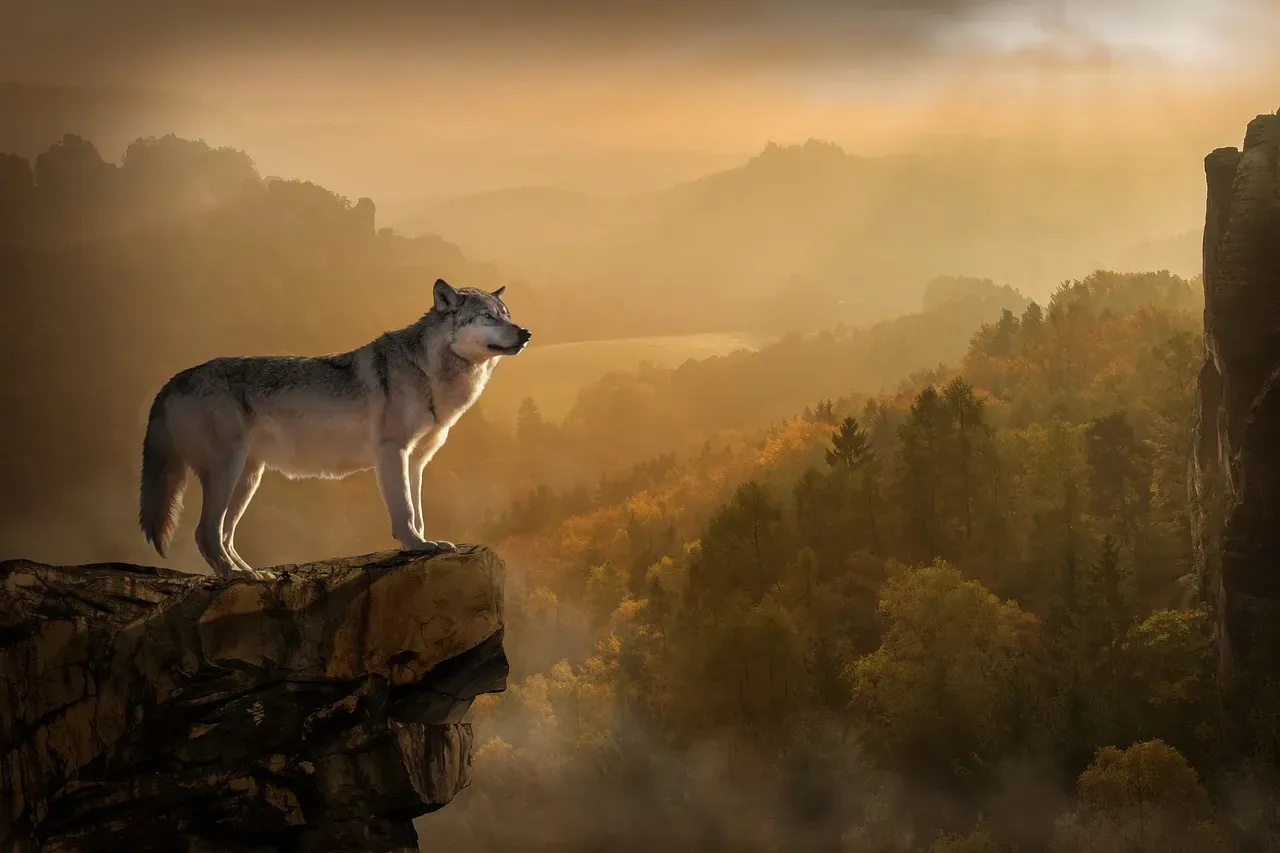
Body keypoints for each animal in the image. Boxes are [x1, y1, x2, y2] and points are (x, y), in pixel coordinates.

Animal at [138, 278, 530, 579]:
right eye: (487, 316)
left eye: (507, 315)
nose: (526, 333)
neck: (429, 371)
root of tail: (174, 379)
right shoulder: (392, 452)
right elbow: (404, 511)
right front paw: (415, 545)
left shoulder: (416, 460)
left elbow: (417, 511)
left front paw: (424, 543)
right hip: (228, 471)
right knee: (206, 533)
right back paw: (237, 577)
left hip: (248, 479)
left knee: (225, 534)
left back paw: (252, 573)